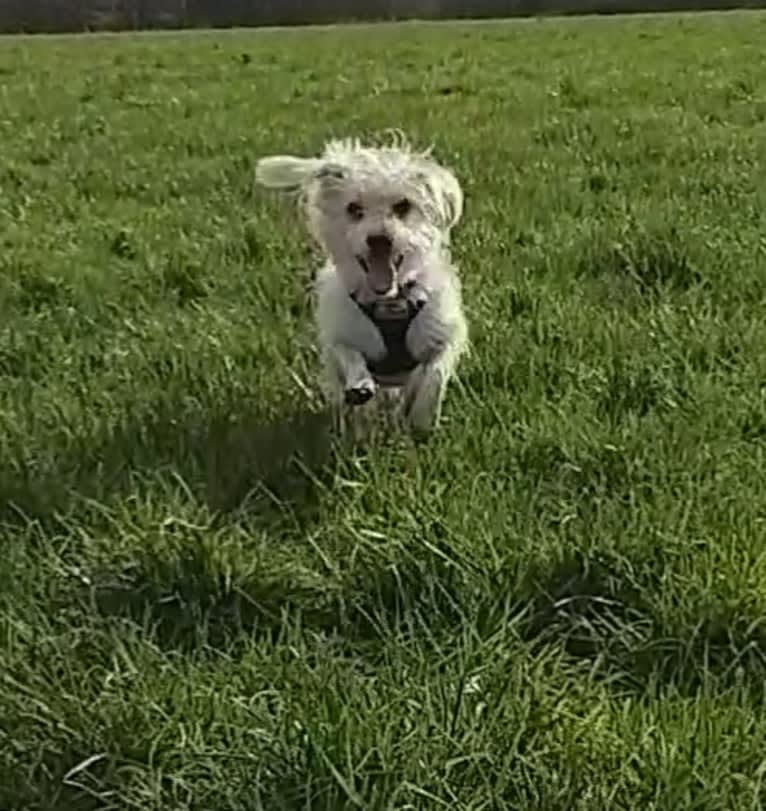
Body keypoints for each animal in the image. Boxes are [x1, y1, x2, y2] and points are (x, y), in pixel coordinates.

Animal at [256, 136, 468, 438]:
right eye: (354, 209)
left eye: (403, 206)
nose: (379, 238)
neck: (389, 301)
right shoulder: (340, 335)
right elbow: (351, 355)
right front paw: (361, 386)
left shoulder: (443, 331)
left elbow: (434, 372)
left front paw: (423, 413)